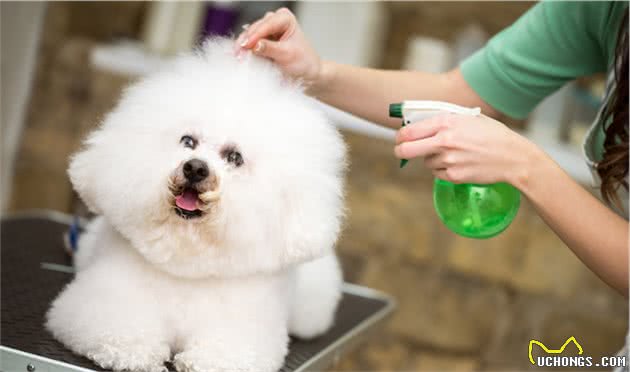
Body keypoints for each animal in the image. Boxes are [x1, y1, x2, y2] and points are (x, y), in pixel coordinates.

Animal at [47, 38, 348, 372]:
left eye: (234, 157)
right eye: (188, 141)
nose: (195, 168)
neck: (188, 265)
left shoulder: (243, 332)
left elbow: (225, 354)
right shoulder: (104, 301)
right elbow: (119, 330)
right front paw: (134, 352)